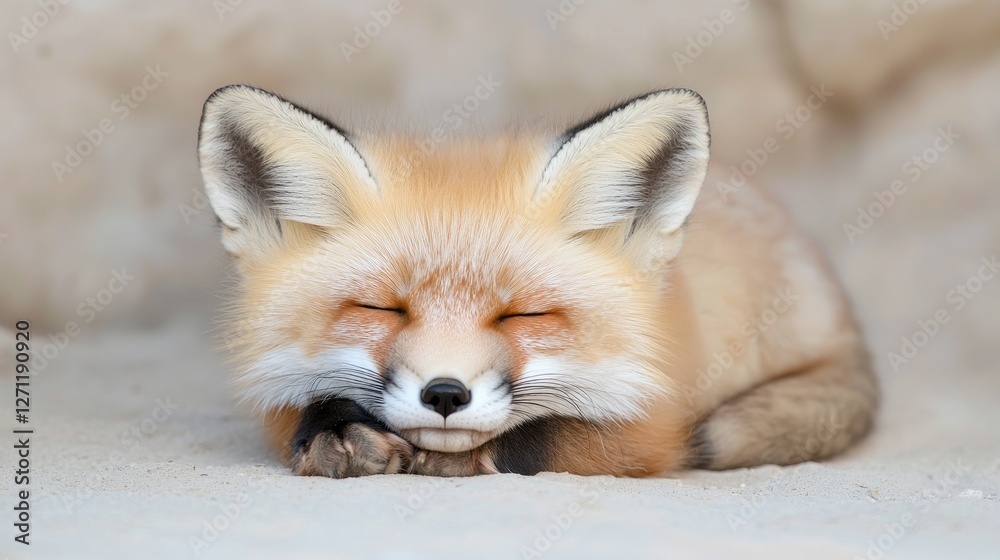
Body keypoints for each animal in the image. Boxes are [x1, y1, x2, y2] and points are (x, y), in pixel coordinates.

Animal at [197, 84, 878, 478]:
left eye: (524, 316)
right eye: (380, 309)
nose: (445, 395)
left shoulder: (657, 424)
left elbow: (543, 439)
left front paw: (460, 456)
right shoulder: (276, 394)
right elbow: (308, 406)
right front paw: (337, 428)